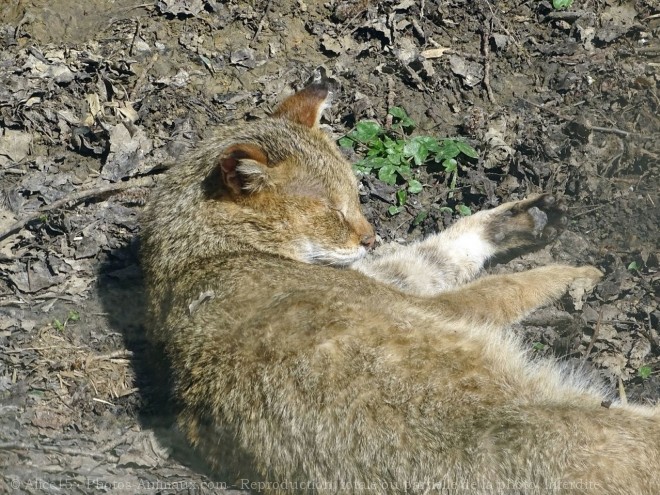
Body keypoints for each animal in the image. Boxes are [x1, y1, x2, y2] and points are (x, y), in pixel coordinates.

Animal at [141, 74, 660, 495]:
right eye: (334, 211)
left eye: (356, 194)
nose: (371, 237)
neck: (202, 256)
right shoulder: (431, 304)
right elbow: (500, 287)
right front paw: (569, 275)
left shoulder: (388, 272)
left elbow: (441, 249)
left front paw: (516, 222)